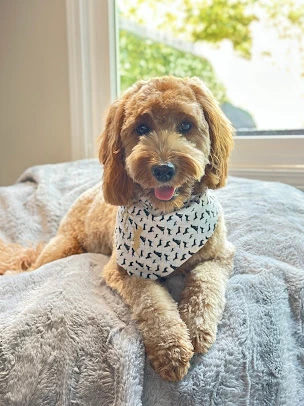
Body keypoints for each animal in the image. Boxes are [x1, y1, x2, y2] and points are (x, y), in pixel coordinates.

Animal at [0, 75, 235, 380]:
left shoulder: (220, 256)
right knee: (30, 267)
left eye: (186, 125)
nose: (163, 169)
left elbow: (206, 287)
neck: (168, 216)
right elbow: (153, 303)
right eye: (141, 128)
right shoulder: (124, 270)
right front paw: (171, 348)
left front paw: (197, 329)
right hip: (61, 248)